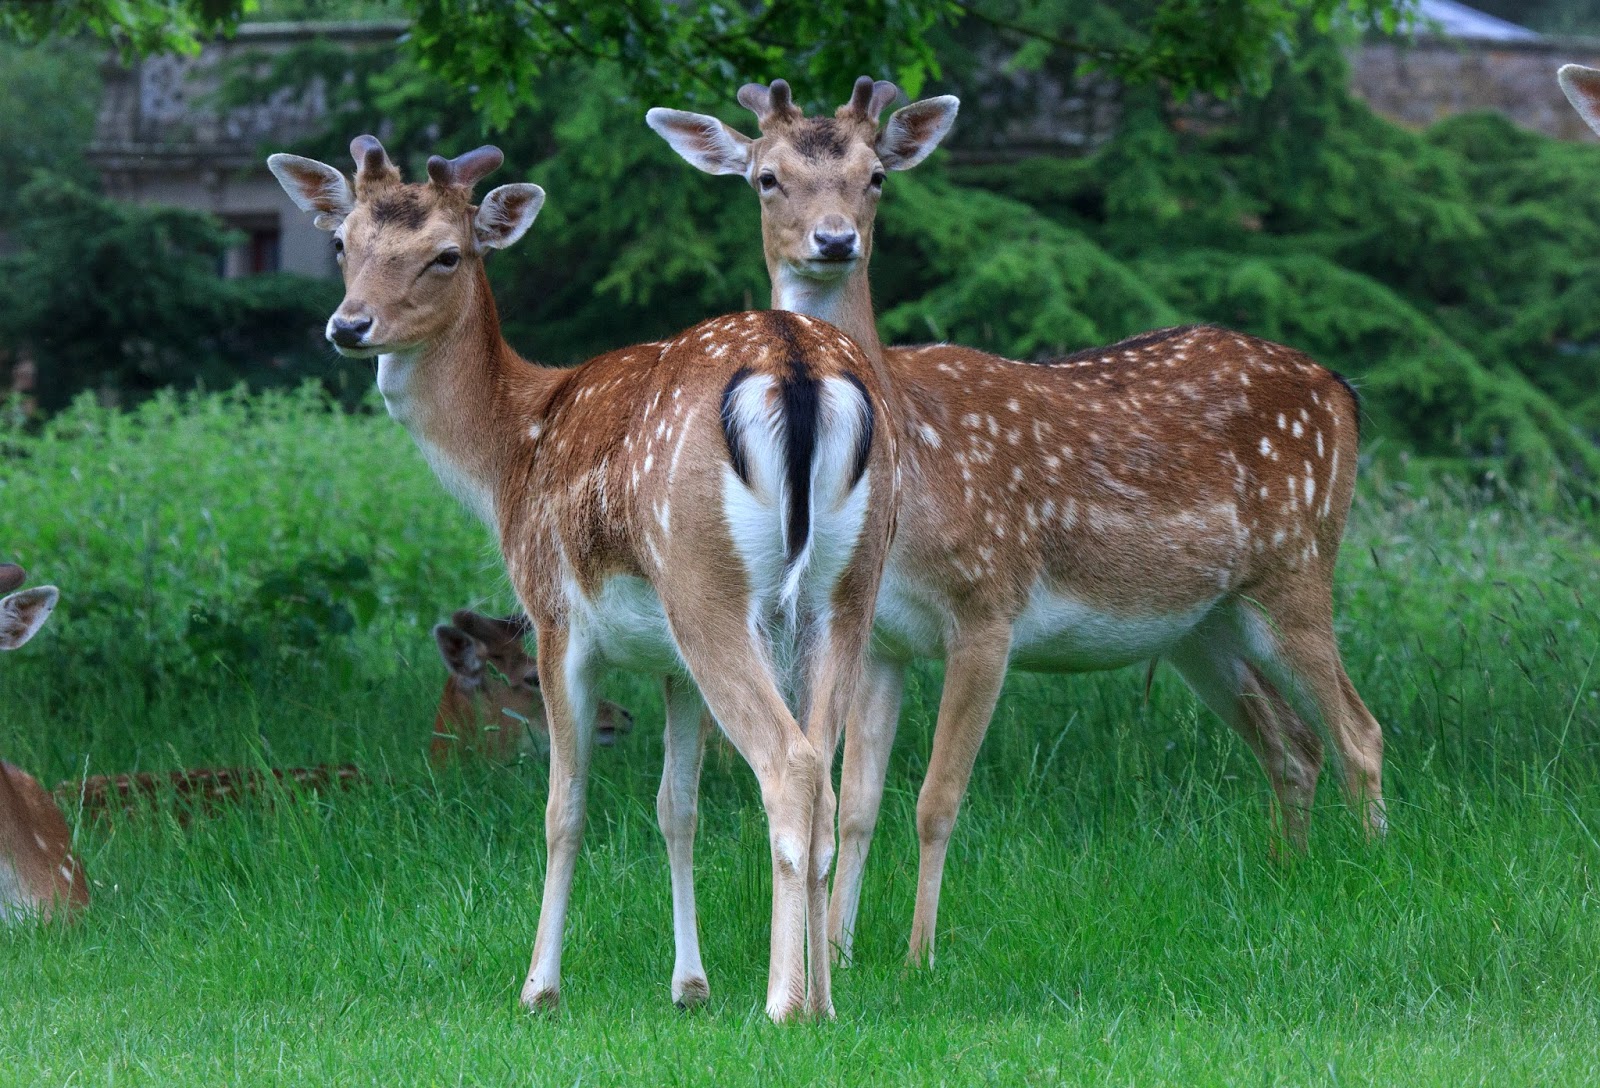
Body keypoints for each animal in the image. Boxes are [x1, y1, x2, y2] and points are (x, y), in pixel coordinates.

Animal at [649, 76, 1387, 968]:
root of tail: (1342, 392)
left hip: (1298, 565)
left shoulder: (988, 606)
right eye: (767, 178)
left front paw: (919, 955)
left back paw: (1376, 875)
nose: (834, 239)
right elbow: (856, 802)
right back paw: (1290, 875)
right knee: (1293, 744)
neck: (913, 475)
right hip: (1203, 622)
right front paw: (843, 951)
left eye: (875, 177)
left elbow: (937, 798)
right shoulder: (884, 638)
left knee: (1359, 732)